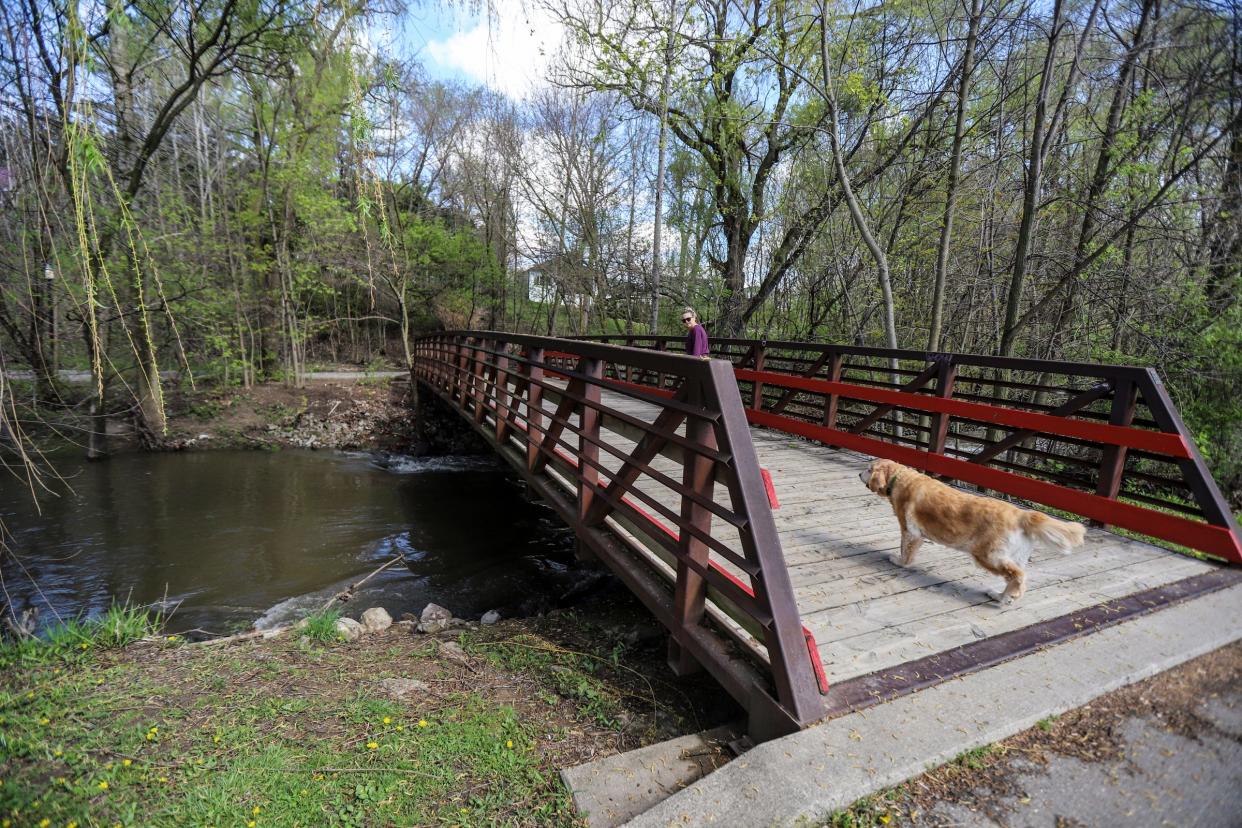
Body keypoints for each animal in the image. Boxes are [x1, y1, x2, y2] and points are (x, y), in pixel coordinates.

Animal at [859, 459, 1083, 603]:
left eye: (869, 469)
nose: (859, 473)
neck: (899, 478)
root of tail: (1022, 514)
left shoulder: (910, 530)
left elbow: (905, 550)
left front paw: (899, 561)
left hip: (987, 555)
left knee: (1017, 575)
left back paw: (1009, 595)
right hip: (1013, 556)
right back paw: (1000, 596)